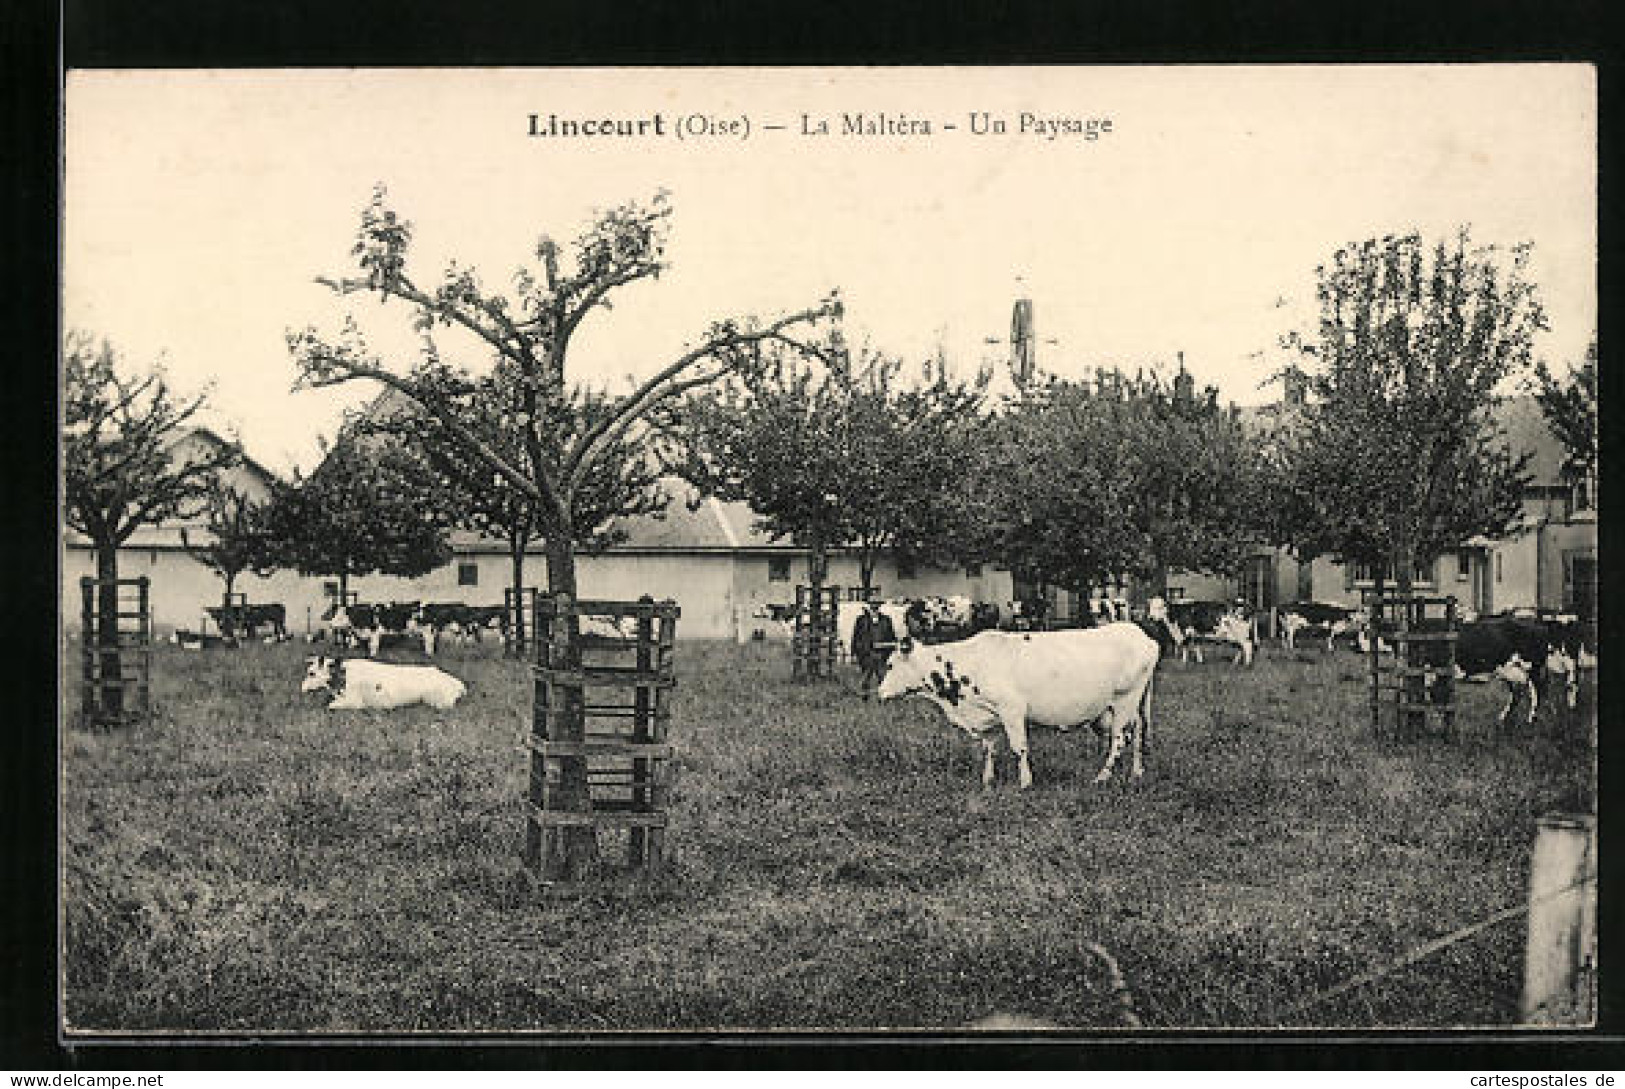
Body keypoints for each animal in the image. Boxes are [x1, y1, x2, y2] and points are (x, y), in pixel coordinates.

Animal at [871, 624, 1163, 793]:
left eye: (889, 664)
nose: (879, 693)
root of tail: (1139, 633)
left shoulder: (1011, 709)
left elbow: (1019, 747)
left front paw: (1025, 782)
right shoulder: (988, 717)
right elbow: (989, 749)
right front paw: (987, 780)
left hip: (1125, 700)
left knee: (1119, 740)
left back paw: (1102, 777)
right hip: (1126, 706)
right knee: (1138, 731)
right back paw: (1136, 772)